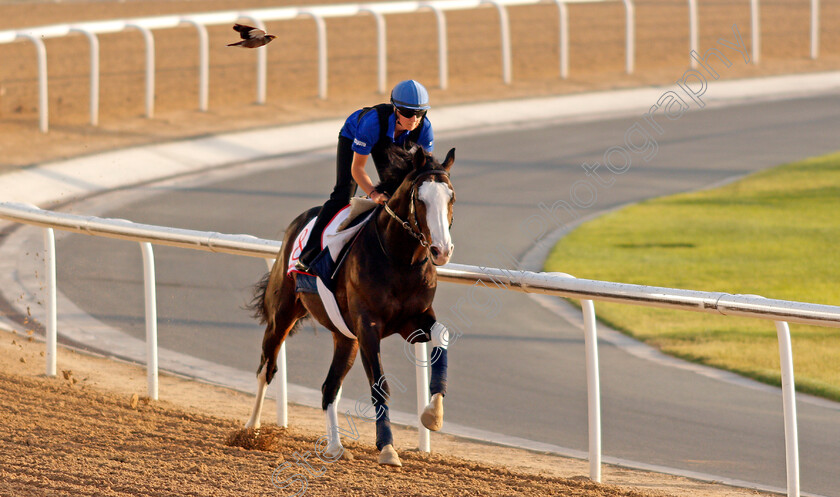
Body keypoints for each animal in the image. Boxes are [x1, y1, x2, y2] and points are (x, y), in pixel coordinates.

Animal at [244, 143, 452, 464]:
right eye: (421, 199)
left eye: (450, 197)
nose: (441, 250)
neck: (399, 260)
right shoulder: (368, 327)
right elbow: (380, 385)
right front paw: (387, 447)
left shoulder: (413, 321)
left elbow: (443, 334)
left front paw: (433, 414)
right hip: (283, 314)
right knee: (266, 368)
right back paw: (251, 432)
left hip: (345, 337)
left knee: (329, 387)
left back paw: (335, 446)